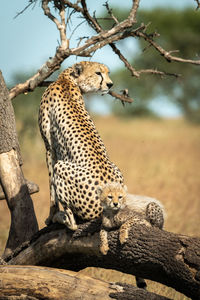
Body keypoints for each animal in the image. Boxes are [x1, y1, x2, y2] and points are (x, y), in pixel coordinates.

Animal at [38, 61, 123, 230]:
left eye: (107, 72)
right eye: (98, 73)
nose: (110, 84)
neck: (67, 79)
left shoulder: (49, 149)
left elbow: (51, 189)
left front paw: (51, 216)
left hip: (61, 166)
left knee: (73, 224)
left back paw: (62, 218)